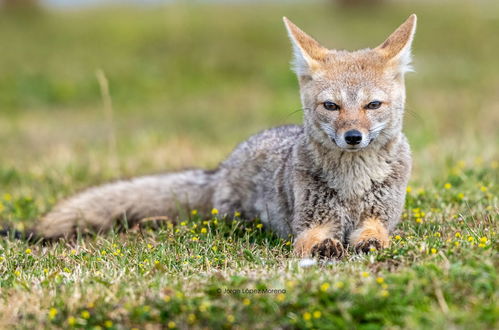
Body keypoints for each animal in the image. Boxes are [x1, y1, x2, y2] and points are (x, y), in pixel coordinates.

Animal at [30, 14, 418, 260]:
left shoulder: (380, 217)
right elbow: (313, 241)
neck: (353, 183)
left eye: (372, 105)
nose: (353, 136)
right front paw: (326, 249)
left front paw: (368, 245)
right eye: (331, 106)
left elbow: (374, 235)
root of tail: (221, 167)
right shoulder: (310, 224)